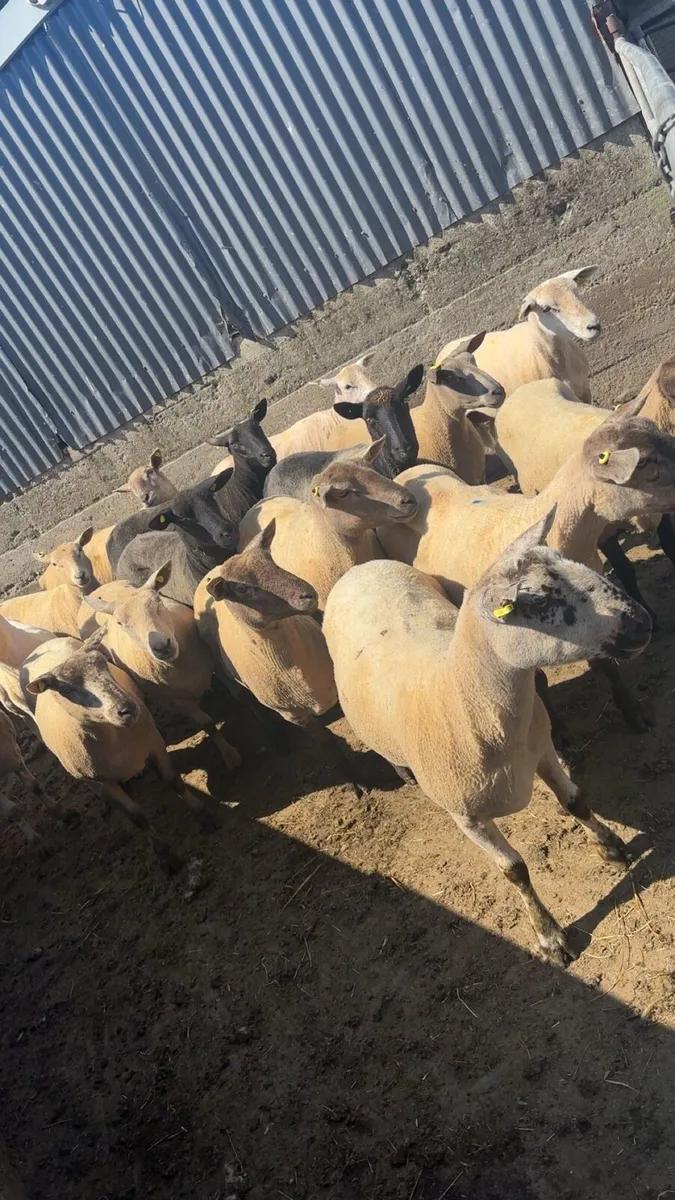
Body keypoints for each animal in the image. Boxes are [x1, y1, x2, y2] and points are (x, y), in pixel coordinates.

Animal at [21, 627, 207, 872]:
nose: (126, 709)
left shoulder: (154, 743)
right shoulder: (102, 782)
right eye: (66, 688)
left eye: (103, 664)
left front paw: (203, 813)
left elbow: (171, 780)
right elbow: (137, 817)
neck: (114, 741)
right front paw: (166, 857)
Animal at [83, 562, 240, 768]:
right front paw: (230, 756)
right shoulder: (175, 699)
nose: (162, 646)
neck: (180, 665)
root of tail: (99, 590)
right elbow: (207, 724)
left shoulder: (214, 659)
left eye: (157, 602)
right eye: (121, 624)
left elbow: (233, 685)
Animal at [323, 511, 651, 965]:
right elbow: (514, 869)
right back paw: (404, 773)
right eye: (538, 601)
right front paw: (551, 937)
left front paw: (613, 848)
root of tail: (359, 569)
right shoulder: (468, 818)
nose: (641, 624)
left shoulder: (542, 751)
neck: (463, 699)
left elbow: (576, 801)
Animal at [380, 398, 675, 729]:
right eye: (650, 469)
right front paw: (558, 727)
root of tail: (407, 474)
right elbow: (541, 682)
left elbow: (609, 663)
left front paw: (632, 711)